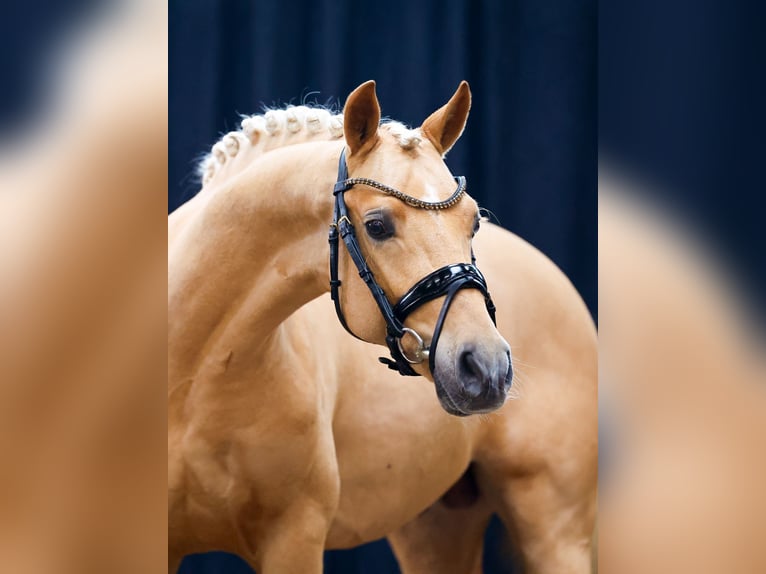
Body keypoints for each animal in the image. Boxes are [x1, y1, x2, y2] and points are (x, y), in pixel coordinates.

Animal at [170, 82, 600, 574]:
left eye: (474, 220)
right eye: (377, 225)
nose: (487, 368)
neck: (198, 380)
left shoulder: (294, 539)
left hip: (555, 531)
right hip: (436, 526)